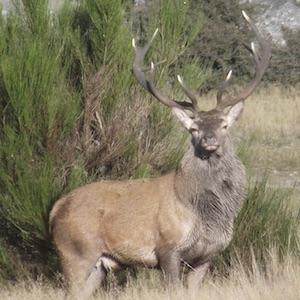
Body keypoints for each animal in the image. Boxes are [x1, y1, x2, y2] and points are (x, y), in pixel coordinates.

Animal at [49, 10, 272, 298]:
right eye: (194, 128)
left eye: (224, 125)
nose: (210, 139)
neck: (203, 215)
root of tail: (55, 209)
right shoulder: (168, 248)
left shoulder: (206, 256)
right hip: (75, 253)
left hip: (98, 265)